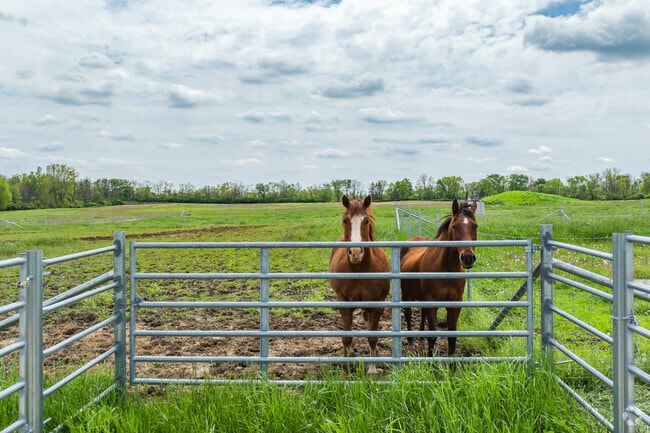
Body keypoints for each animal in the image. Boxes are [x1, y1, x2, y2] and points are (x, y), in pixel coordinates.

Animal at [329, 195, 390, 374]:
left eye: (366, 221)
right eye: (345, 220)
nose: (356, 253)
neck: (361, 269)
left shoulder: (378, 304)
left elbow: (372, 336)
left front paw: (372, 369)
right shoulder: (343, 303)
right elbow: (347, 337)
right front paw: (346, 369)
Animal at [400, 199, 478, 357]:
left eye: (475, 226)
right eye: (454, 226)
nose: (467, 257)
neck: (447, 269)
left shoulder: (455, 304)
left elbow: (452, 337)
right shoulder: (432, 303)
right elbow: (432, 336)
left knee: (422, 315)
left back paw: (420, 340)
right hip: (407, 294)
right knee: (408, 314)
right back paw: (410, 342)